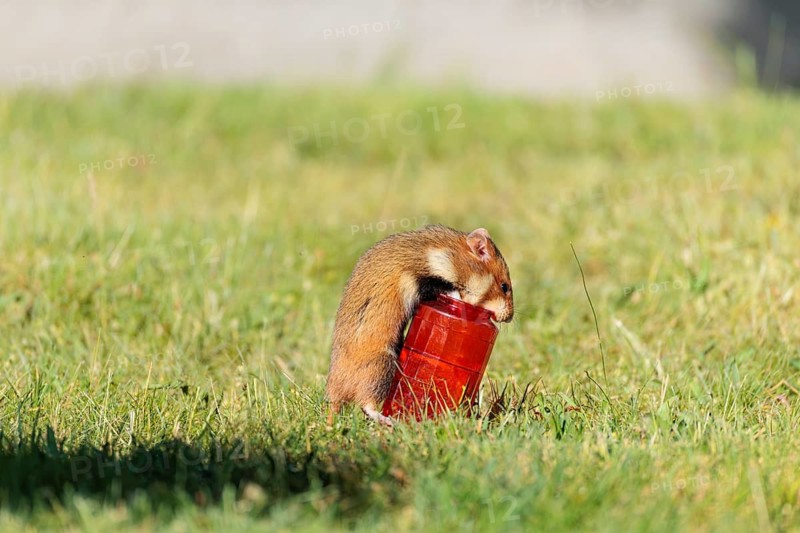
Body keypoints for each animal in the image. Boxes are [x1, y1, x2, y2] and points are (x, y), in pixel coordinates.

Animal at [325, 225, 514, 426]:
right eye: (504, 287)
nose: (509, 318)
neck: (448, 254)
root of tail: (334, 393)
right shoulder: (421, 279)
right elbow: (448, 290)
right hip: (382, 366)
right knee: (366, 404)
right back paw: (390, 421)